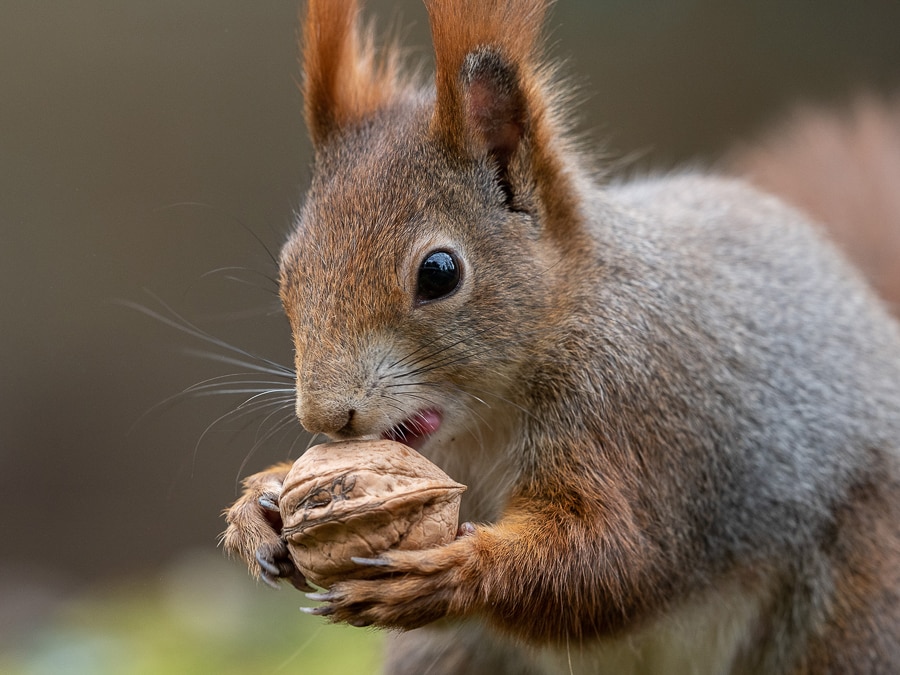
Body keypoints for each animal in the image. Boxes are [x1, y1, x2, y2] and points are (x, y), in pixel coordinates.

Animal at [223, 2, 900, 672]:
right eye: (289, 269)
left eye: (439, 272)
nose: (326, 416)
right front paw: (264, 503)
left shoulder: (632, 417)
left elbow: (615, 560)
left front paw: (454, 572)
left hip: (857, 602)